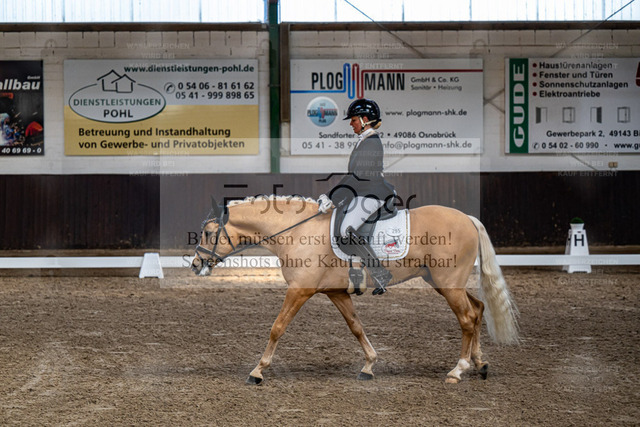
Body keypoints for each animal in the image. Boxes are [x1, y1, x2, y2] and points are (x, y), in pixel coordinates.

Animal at [190, 195, 519, 385]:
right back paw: (480, 363)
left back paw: (458, 370)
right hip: (442, 283)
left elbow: (277, 327)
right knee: (477, 309)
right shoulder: (336, 292)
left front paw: (258, 371)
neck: (298, 231)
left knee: (466, 318)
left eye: (208, 232)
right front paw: (369, 366)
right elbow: (356, 326)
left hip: (449, 284)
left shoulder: (299, 290)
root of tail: (468, 218)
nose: (195, 264)